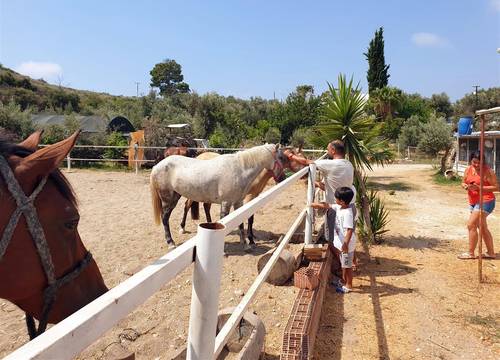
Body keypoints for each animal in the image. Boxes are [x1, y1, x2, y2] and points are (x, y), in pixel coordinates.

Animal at [150, 142, 288, 249]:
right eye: (281, 157)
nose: (283, 178)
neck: (240, 169)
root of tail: (157, 166)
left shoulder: (238, 202)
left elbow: (241, 223)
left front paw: (245, 244)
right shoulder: (226, 203)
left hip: (177, 195)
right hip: (169, 199)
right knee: (165, 218)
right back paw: (171, 242)